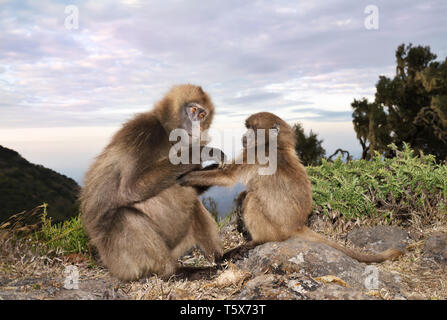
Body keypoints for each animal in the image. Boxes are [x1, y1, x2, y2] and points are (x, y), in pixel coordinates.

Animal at [79, 83, 224, 280]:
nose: (197, 125)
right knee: (124, 216)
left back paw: (222, 258)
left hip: (178, 244)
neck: (168, 135)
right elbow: (130, 189)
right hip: (121, 261)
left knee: (193, 203)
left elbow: (188, 185)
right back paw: (174, 272)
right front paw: (198, 152)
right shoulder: (144, 132)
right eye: (192, 110)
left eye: (202, 115)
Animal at [179, 112, 406, 262]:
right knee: (247, 195)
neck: (275, 145)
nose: (243, 137)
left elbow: (226, 177)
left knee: (251, 199)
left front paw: (185, 177)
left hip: (277, 229)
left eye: (251, 128)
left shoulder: (255, 153)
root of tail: (296, 225)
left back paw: (258, 241)